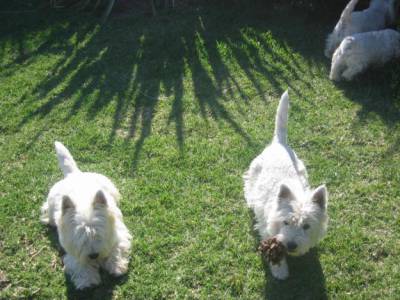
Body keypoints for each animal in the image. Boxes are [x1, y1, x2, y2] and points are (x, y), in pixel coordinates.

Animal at [40, 142, 132, 290]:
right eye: (80, 236)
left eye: (98, 233)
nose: (93, 255)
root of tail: (73, 175)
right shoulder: (72, 251)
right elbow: (80, 264)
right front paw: (87, 280)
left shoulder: (118, 234)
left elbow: (116, 249)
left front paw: (117, 266)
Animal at [244, 91, 328, 282]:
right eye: (286, 222)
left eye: (306, 226)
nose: (291, 245)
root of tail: (279, 142)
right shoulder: (267, 230)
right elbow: (275, 249)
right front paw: (280, 271)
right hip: (253, 173)